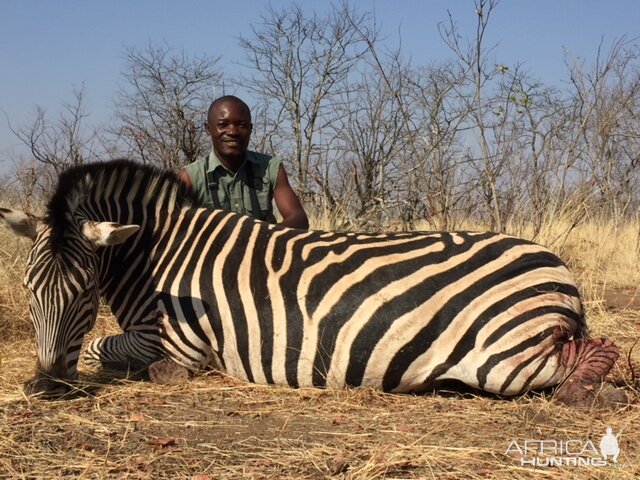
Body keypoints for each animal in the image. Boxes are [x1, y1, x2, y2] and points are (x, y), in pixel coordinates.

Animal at [0, 160, 620, 404]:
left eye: (83, 292)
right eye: (29, 290)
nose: (44, 386)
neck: (159, 253)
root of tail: (558, 266)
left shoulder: (177, 341)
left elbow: (104, 349)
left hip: (505, 357)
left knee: (594, 356)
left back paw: (588, 393)